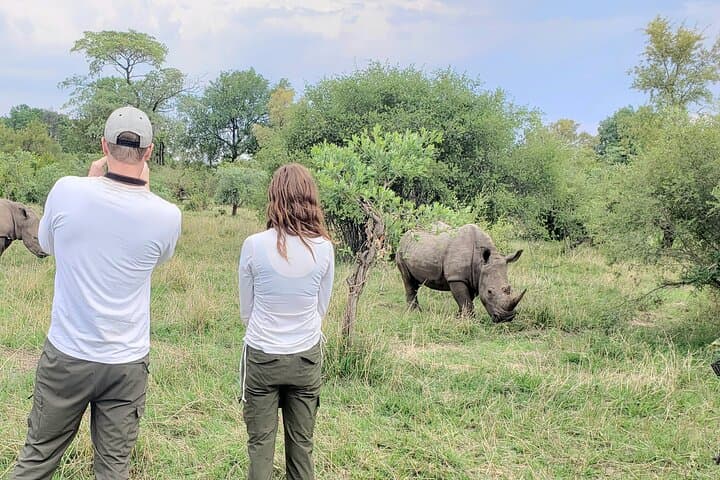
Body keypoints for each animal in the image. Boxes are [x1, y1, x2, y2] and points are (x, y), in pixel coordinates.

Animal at [396, 223, 525, 322]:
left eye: (509, 289)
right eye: (489, 292)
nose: (506, 318)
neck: (480, 263)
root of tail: (405, 234)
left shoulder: (475, 278)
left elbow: (466, 300)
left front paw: (459, 317)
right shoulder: (456, 277)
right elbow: (464, 299)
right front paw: (469, 320)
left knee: (415, 282)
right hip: (401, 249)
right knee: (407, 279)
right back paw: (414, 312)